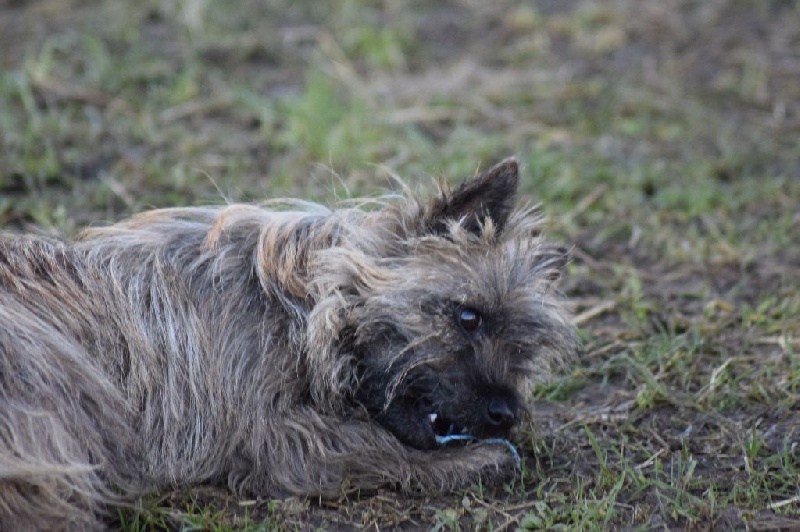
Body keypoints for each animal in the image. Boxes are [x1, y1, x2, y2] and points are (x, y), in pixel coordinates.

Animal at [0, 157, 576, 528]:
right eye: (469, 316)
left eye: (524, 348)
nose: (505, 413)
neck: (299, 307)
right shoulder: (275, 437)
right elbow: (377, 447)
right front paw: (482, 460)